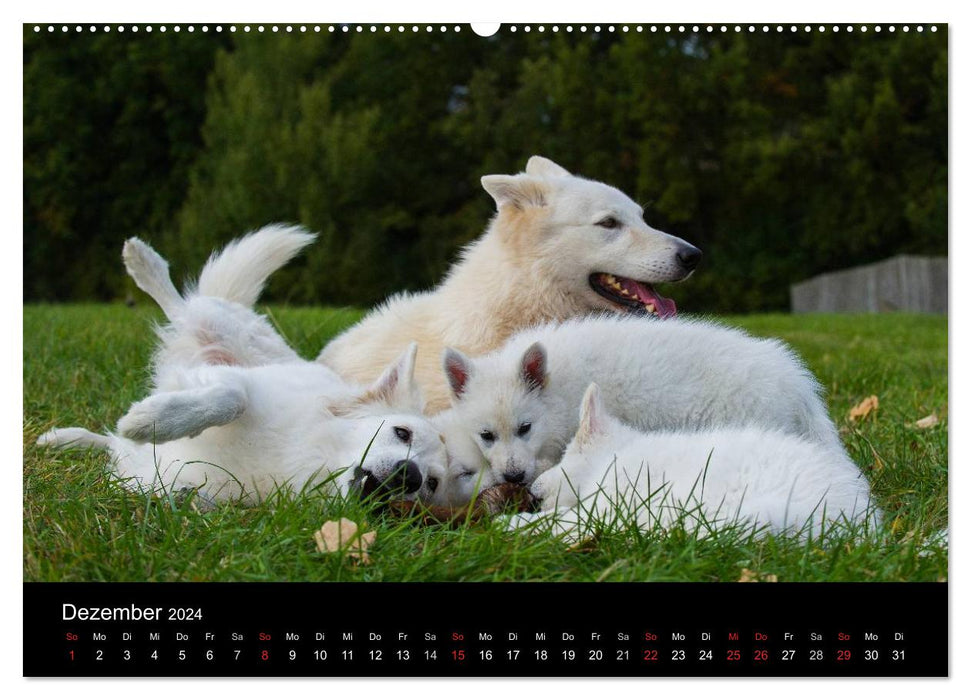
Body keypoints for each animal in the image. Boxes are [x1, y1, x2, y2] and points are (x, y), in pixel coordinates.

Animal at [37, 227, 448, 506]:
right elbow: (230, 397)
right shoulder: (232, 380)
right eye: (402, 433)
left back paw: (64, 440)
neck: (297, 454)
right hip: (220, 329)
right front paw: (151, 420)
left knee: (111, 443)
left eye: (432, 484)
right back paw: (142, 260)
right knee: (180, 303)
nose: (409, 476)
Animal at [512, 382, 884, 540]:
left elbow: (565, 519)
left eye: (565, 457)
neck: (613, 459)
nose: (532, 490)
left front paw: (513, 525)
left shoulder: (614, 505)